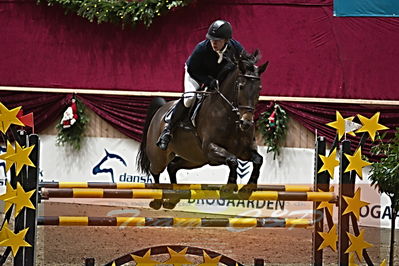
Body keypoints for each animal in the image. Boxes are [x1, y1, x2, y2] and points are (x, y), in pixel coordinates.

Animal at [138, 48, 268, 209]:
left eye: (259, 88)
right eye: (241, 86)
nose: (246, 123)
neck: (232, 118)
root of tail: (161, 110)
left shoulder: (244, 151)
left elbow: (258, 160)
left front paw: (247, 190)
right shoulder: (210, 148)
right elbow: (232, 160)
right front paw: (228, 189)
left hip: (195, 159)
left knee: (172, 167)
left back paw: (174, 198)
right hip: (160, 156)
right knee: (155, 171)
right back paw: (158, 199)